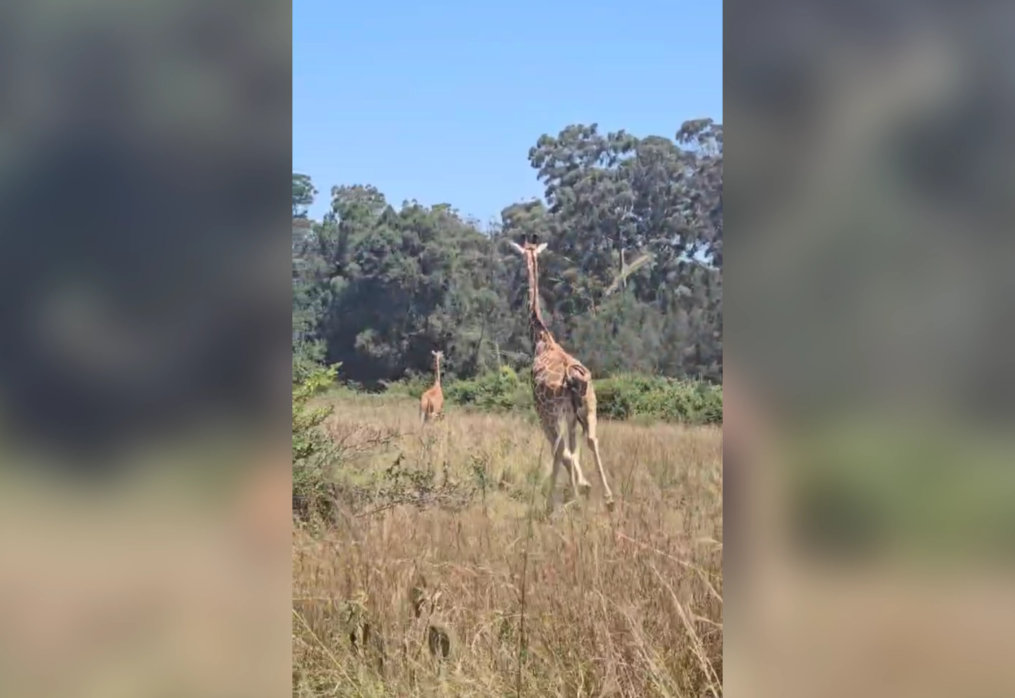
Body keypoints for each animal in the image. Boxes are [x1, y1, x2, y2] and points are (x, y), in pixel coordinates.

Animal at [507, 239, 617, 513]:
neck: (541, 340)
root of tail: (572, 377)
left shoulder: (545, 414)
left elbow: (561, 453)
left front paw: (565, 495)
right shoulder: (572, 418)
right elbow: (573, 450)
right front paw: (575, 490)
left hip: (551, 413)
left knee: (563, 451)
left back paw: (578, 494)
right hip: (589, 407)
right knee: (591, 440)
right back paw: (607, 498)